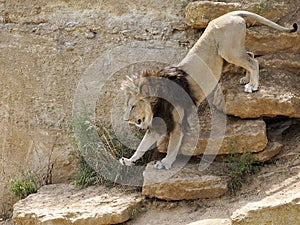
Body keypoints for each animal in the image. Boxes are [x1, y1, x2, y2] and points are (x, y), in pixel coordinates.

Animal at [118, 10, 296, 169]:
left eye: (133, 106)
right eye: (126, 106)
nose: (127, 120)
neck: (156, 103)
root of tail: (231, 14)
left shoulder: (177, 124)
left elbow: (172, 146)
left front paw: (165, 163)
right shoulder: (158, 124)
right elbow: (141, 146)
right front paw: (129, 160)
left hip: (228, 51)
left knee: (254, 62)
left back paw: (252, 85)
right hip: (231, 53)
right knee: (251, 55)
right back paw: (246, 79)